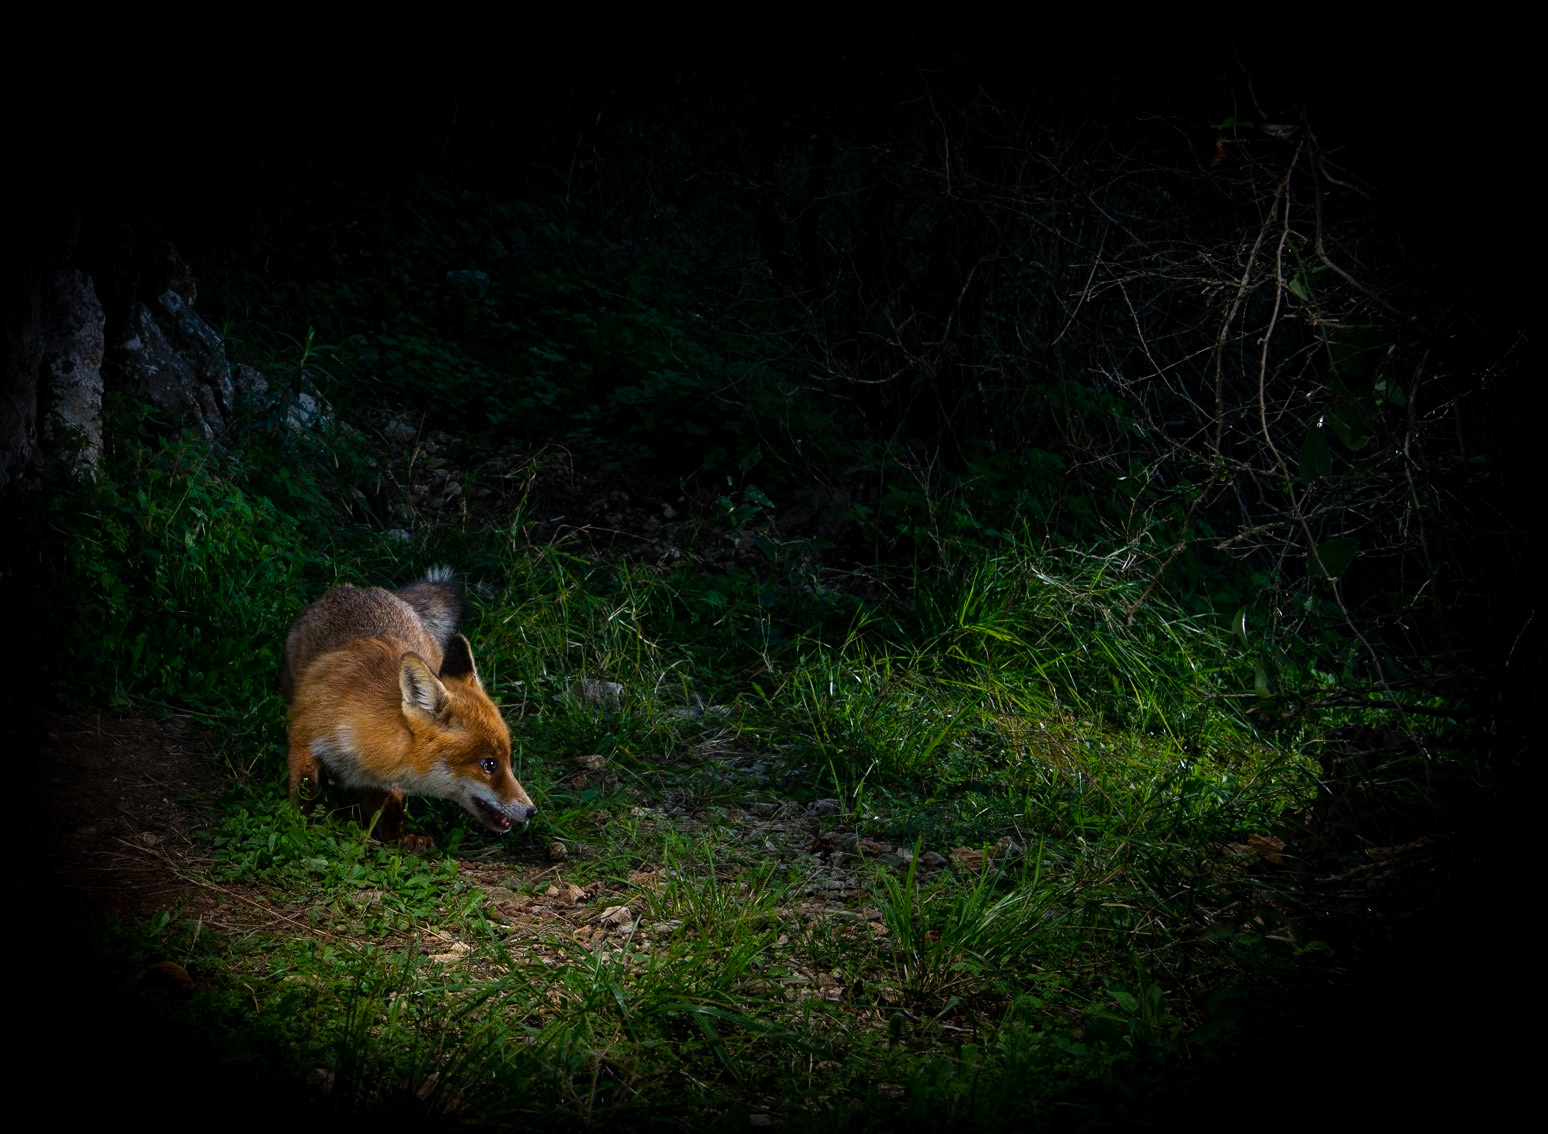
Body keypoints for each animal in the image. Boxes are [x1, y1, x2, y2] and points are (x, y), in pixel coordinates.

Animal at [280, 566, 536, 848]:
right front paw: (300, 829)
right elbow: (304, 793)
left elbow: (391, 812)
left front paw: (399, 840)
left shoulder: (383, 780)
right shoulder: (302, 737)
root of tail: (359, 589)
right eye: (489, 764)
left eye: (508, 760)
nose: (531, 810)